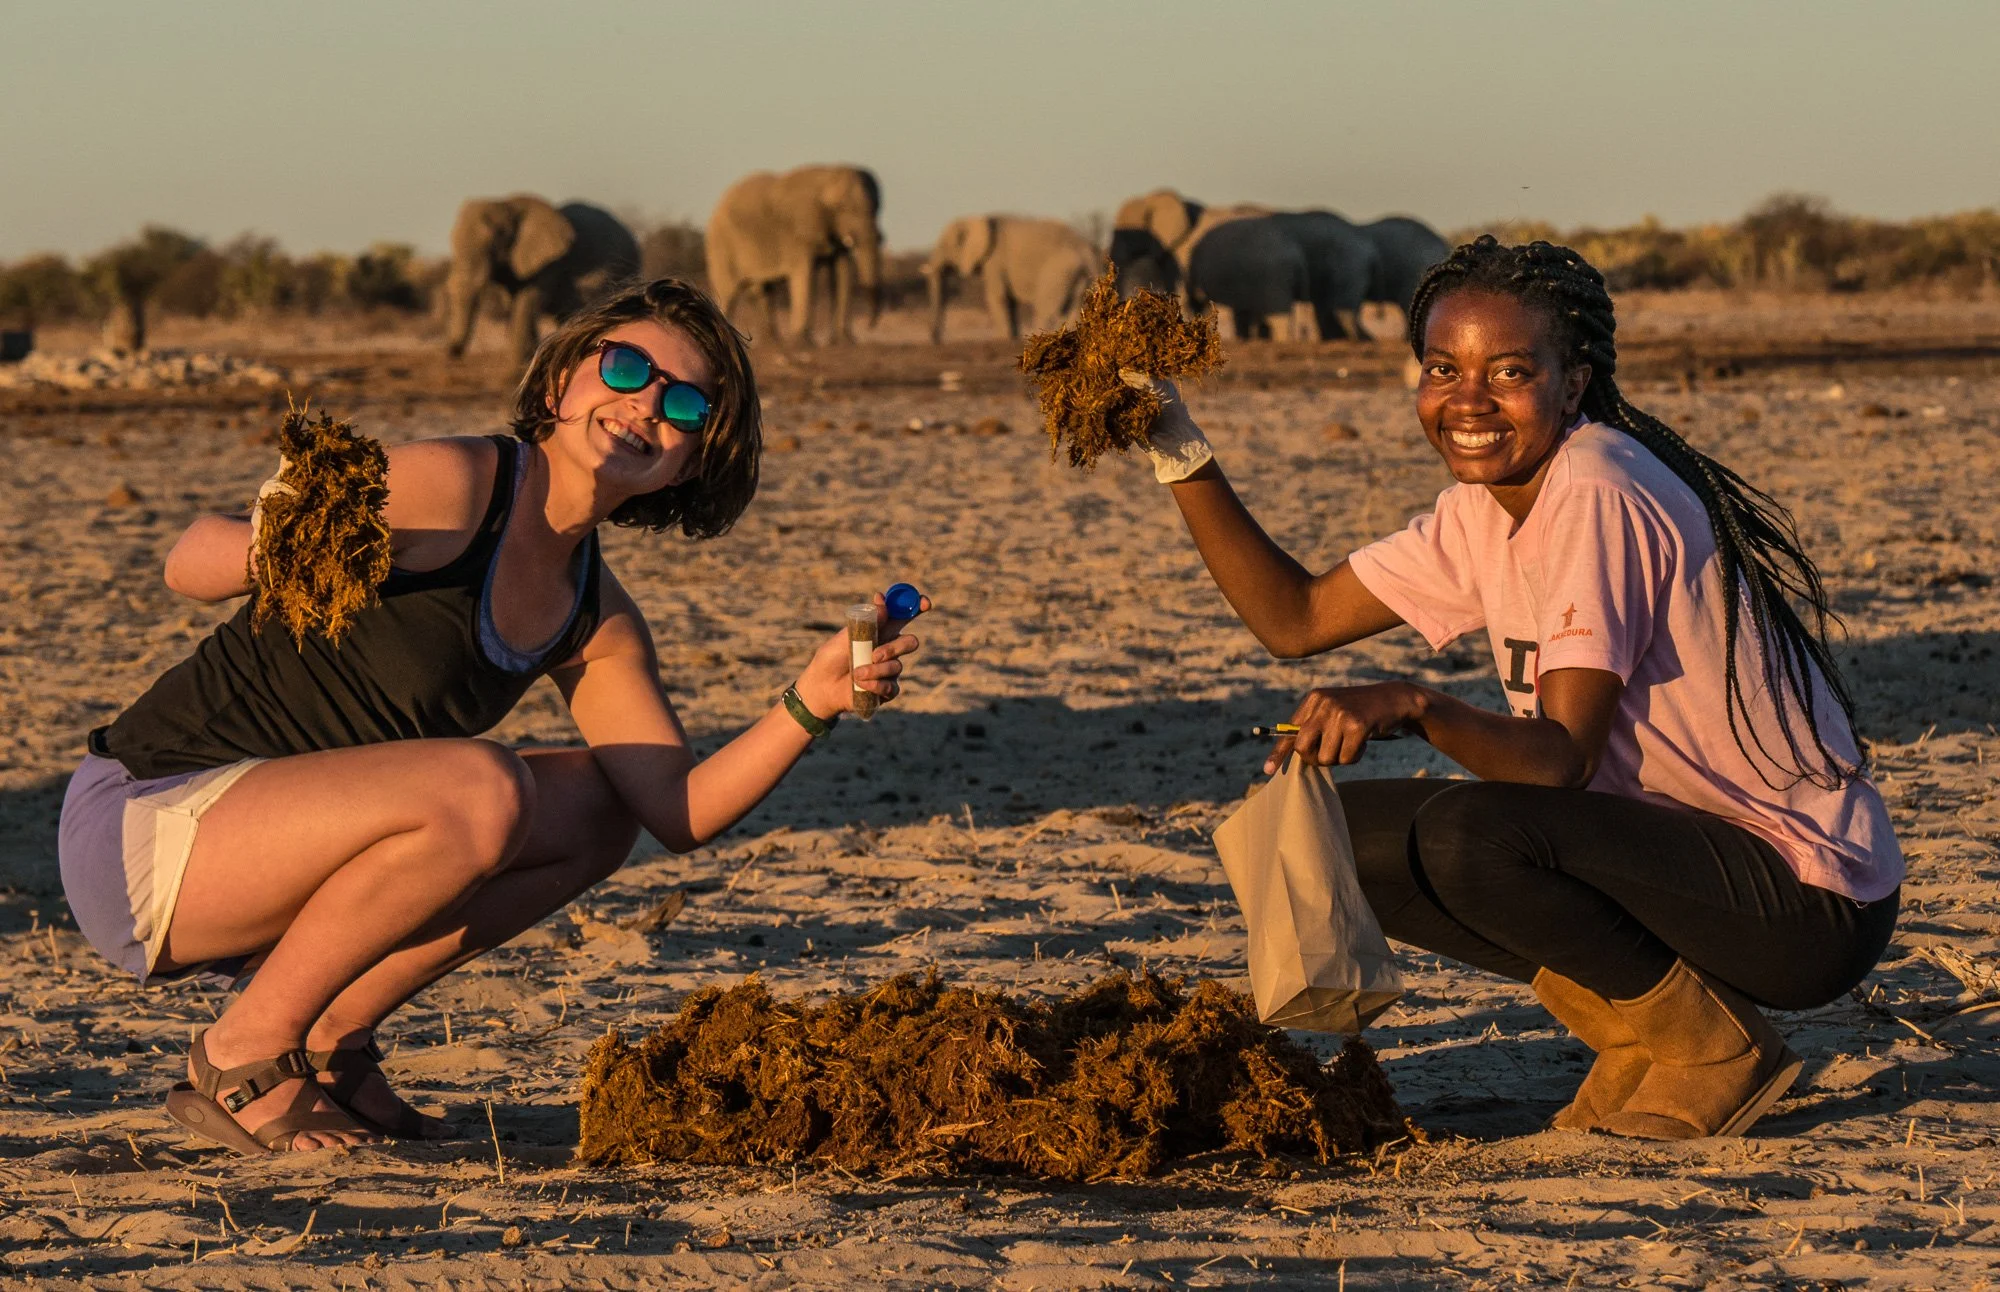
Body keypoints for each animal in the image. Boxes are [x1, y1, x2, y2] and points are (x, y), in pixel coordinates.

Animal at [443, 196, 640, 363]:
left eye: (496, 239)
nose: (451, 352)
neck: (507, 204)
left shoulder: (551, 261)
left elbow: (528, 300)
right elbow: (518, 305)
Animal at [705, 165, 883, 346]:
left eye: (876, 209)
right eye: (846, 209)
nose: (870, 325)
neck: (830, 174)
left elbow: (843, 273)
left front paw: (845, 342)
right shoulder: (800, 233)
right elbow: (806, 275)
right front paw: (803, 342)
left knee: (762, 291)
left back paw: (772, 343)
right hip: (721, 244)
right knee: (727, 292)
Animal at [924, 215, 1100, 342]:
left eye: (944, 246)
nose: (935, 340)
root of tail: (1088, 251)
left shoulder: (995, 262)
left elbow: (997, 297)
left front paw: (1003, 338)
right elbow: (1010, 301)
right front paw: (1012, 336)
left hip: (1058, 270)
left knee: (1046, 309)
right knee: (1076, 307)